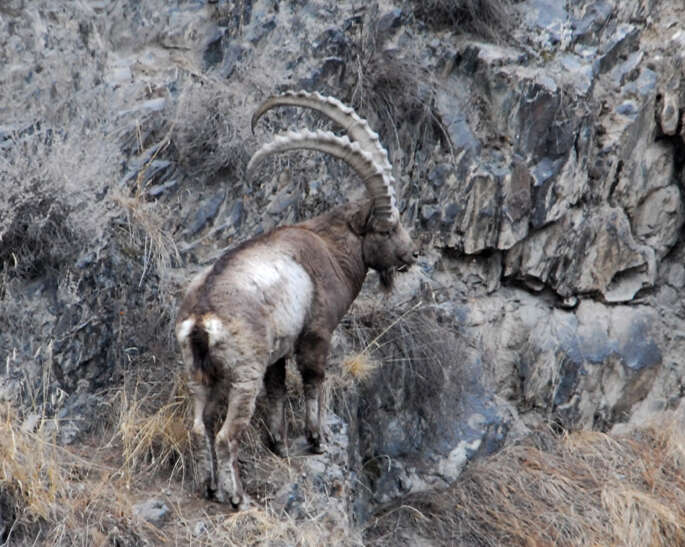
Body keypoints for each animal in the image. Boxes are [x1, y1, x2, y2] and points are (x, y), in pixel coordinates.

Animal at [176, 91, 416, 510]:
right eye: (387, 228)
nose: (412, 254)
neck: (330, 249)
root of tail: (202, 318)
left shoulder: (278, 353)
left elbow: (276, 391)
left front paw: (279, 444)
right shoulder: (316, 334)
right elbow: (313, 381)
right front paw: (316, 440)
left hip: (199, 375)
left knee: (199, 427)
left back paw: (210, 487)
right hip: (243, 376)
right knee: (226, 435)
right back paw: (236, 496)